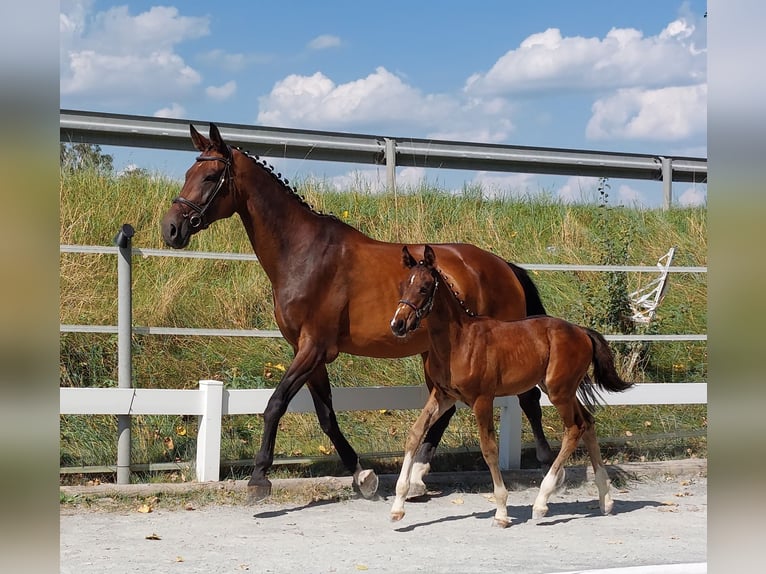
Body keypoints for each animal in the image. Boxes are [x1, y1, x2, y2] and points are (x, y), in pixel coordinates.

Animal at [390, 245, 636, 528]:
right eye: (402, 286)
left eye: (424, 287)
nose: (397, 325)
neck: (459, 341)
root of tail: (582, 332)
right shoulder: (443, 396)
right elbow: (415, 433)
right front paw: (398, 507)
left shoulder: (482, 399)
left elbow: (489, 449)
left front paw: (501, 512)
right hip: (561, 388)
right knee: (588, 422)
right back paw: (605, 499)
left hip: (559, 392)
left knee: (575, 428)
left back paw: (541, 503)